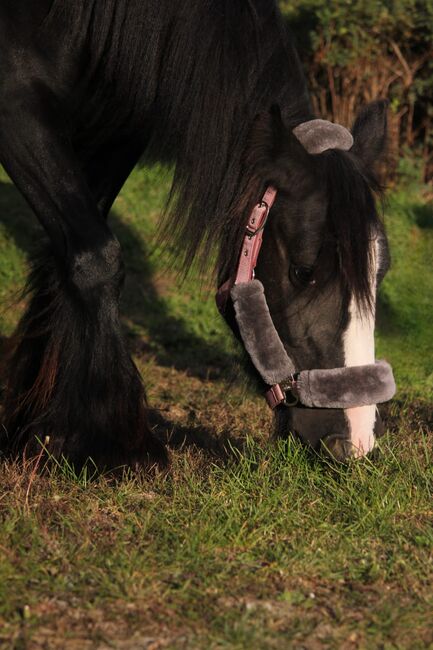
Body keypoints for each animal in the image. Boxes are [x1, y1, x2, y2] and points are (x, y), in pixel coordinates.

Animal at [0, 0, 394, 468]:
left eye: (380, 271)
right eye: (303, 271)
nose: (356, 440)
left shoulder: (118, 132)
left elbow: (67, 257)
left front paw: (40, 426)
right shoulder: (17, 106)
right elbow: (97, 259)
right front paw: (113, 446)